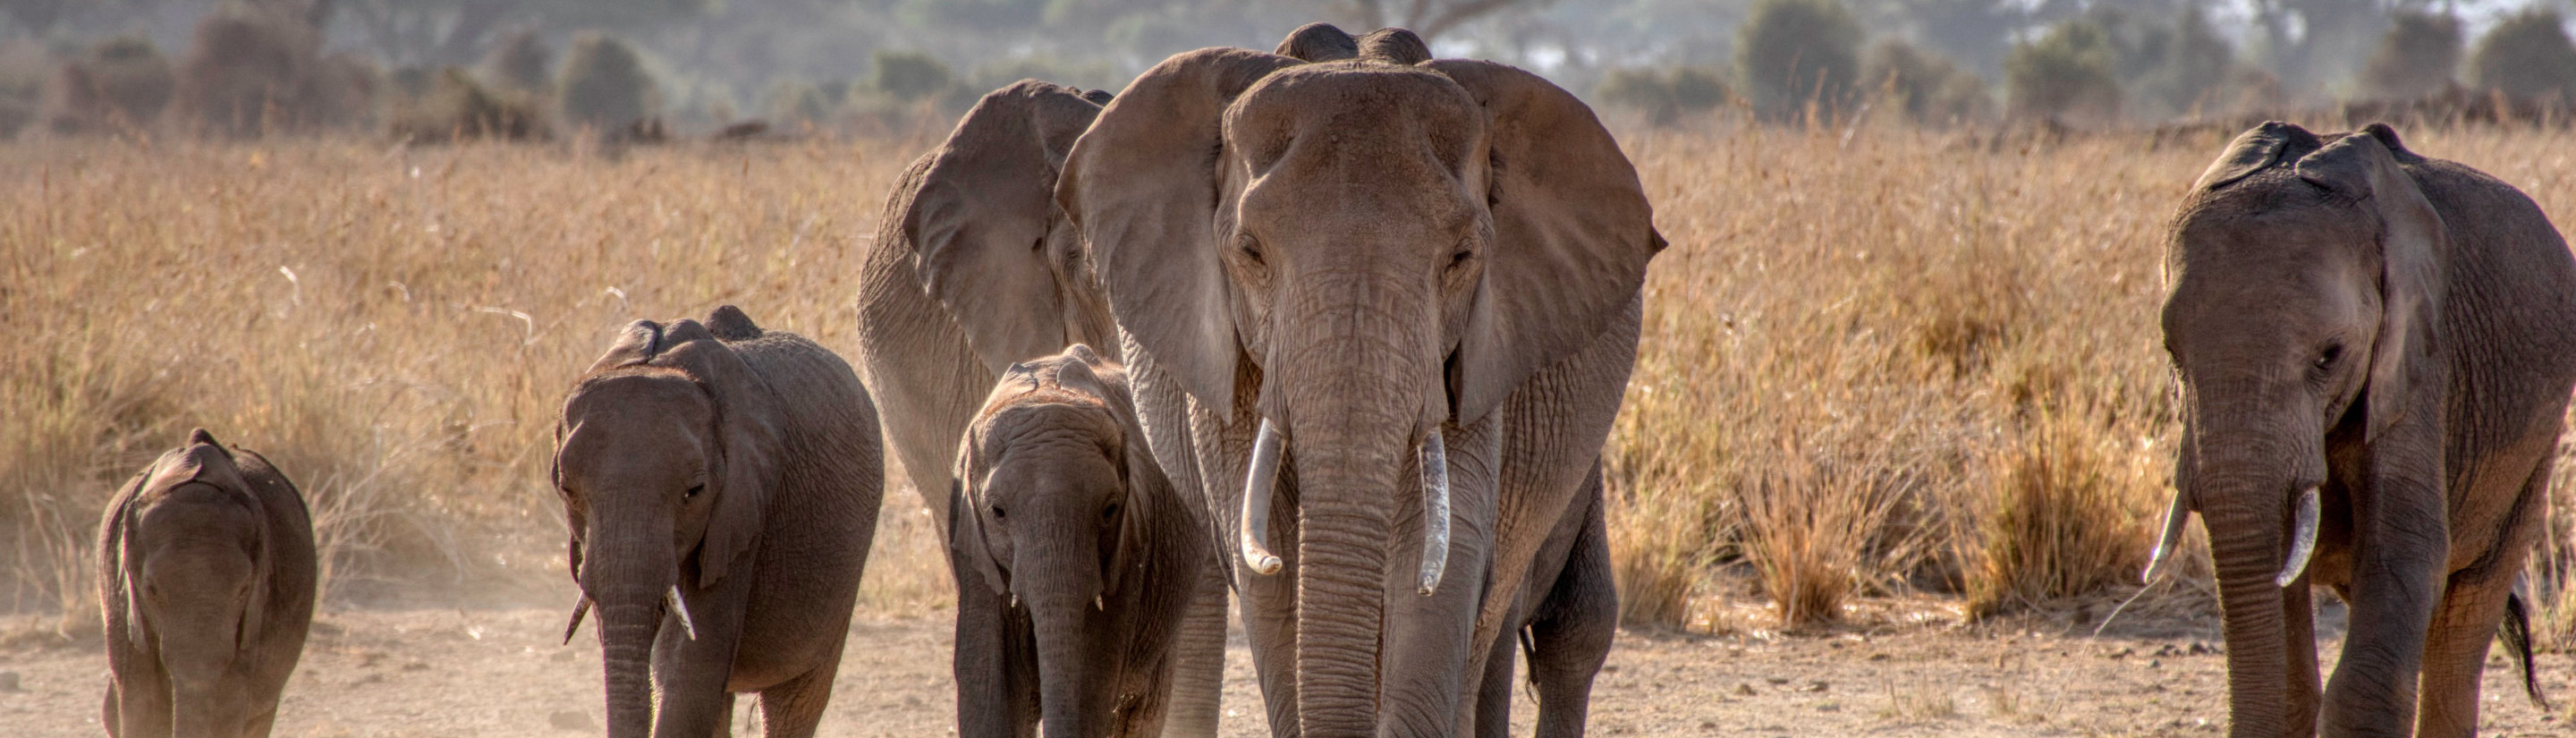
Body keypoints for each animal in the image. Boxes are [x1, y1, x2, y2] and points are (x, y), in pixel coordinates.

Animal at [953, 345, 1210, 738]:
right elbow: (989, 680)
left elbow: (1092, 675)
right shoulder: (974, 548)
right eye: (997, 512)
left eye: (1109, 510)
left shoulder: (1131, 544)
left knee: (1141, 708)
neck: (1048, 395)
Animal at [2153, 121, 2576, 738]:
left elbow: (2404, 549)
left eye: (2329, 356)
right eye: (2171, 353)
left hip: (2536, 444)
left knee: (2467, 613)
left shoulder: (2419, 360)